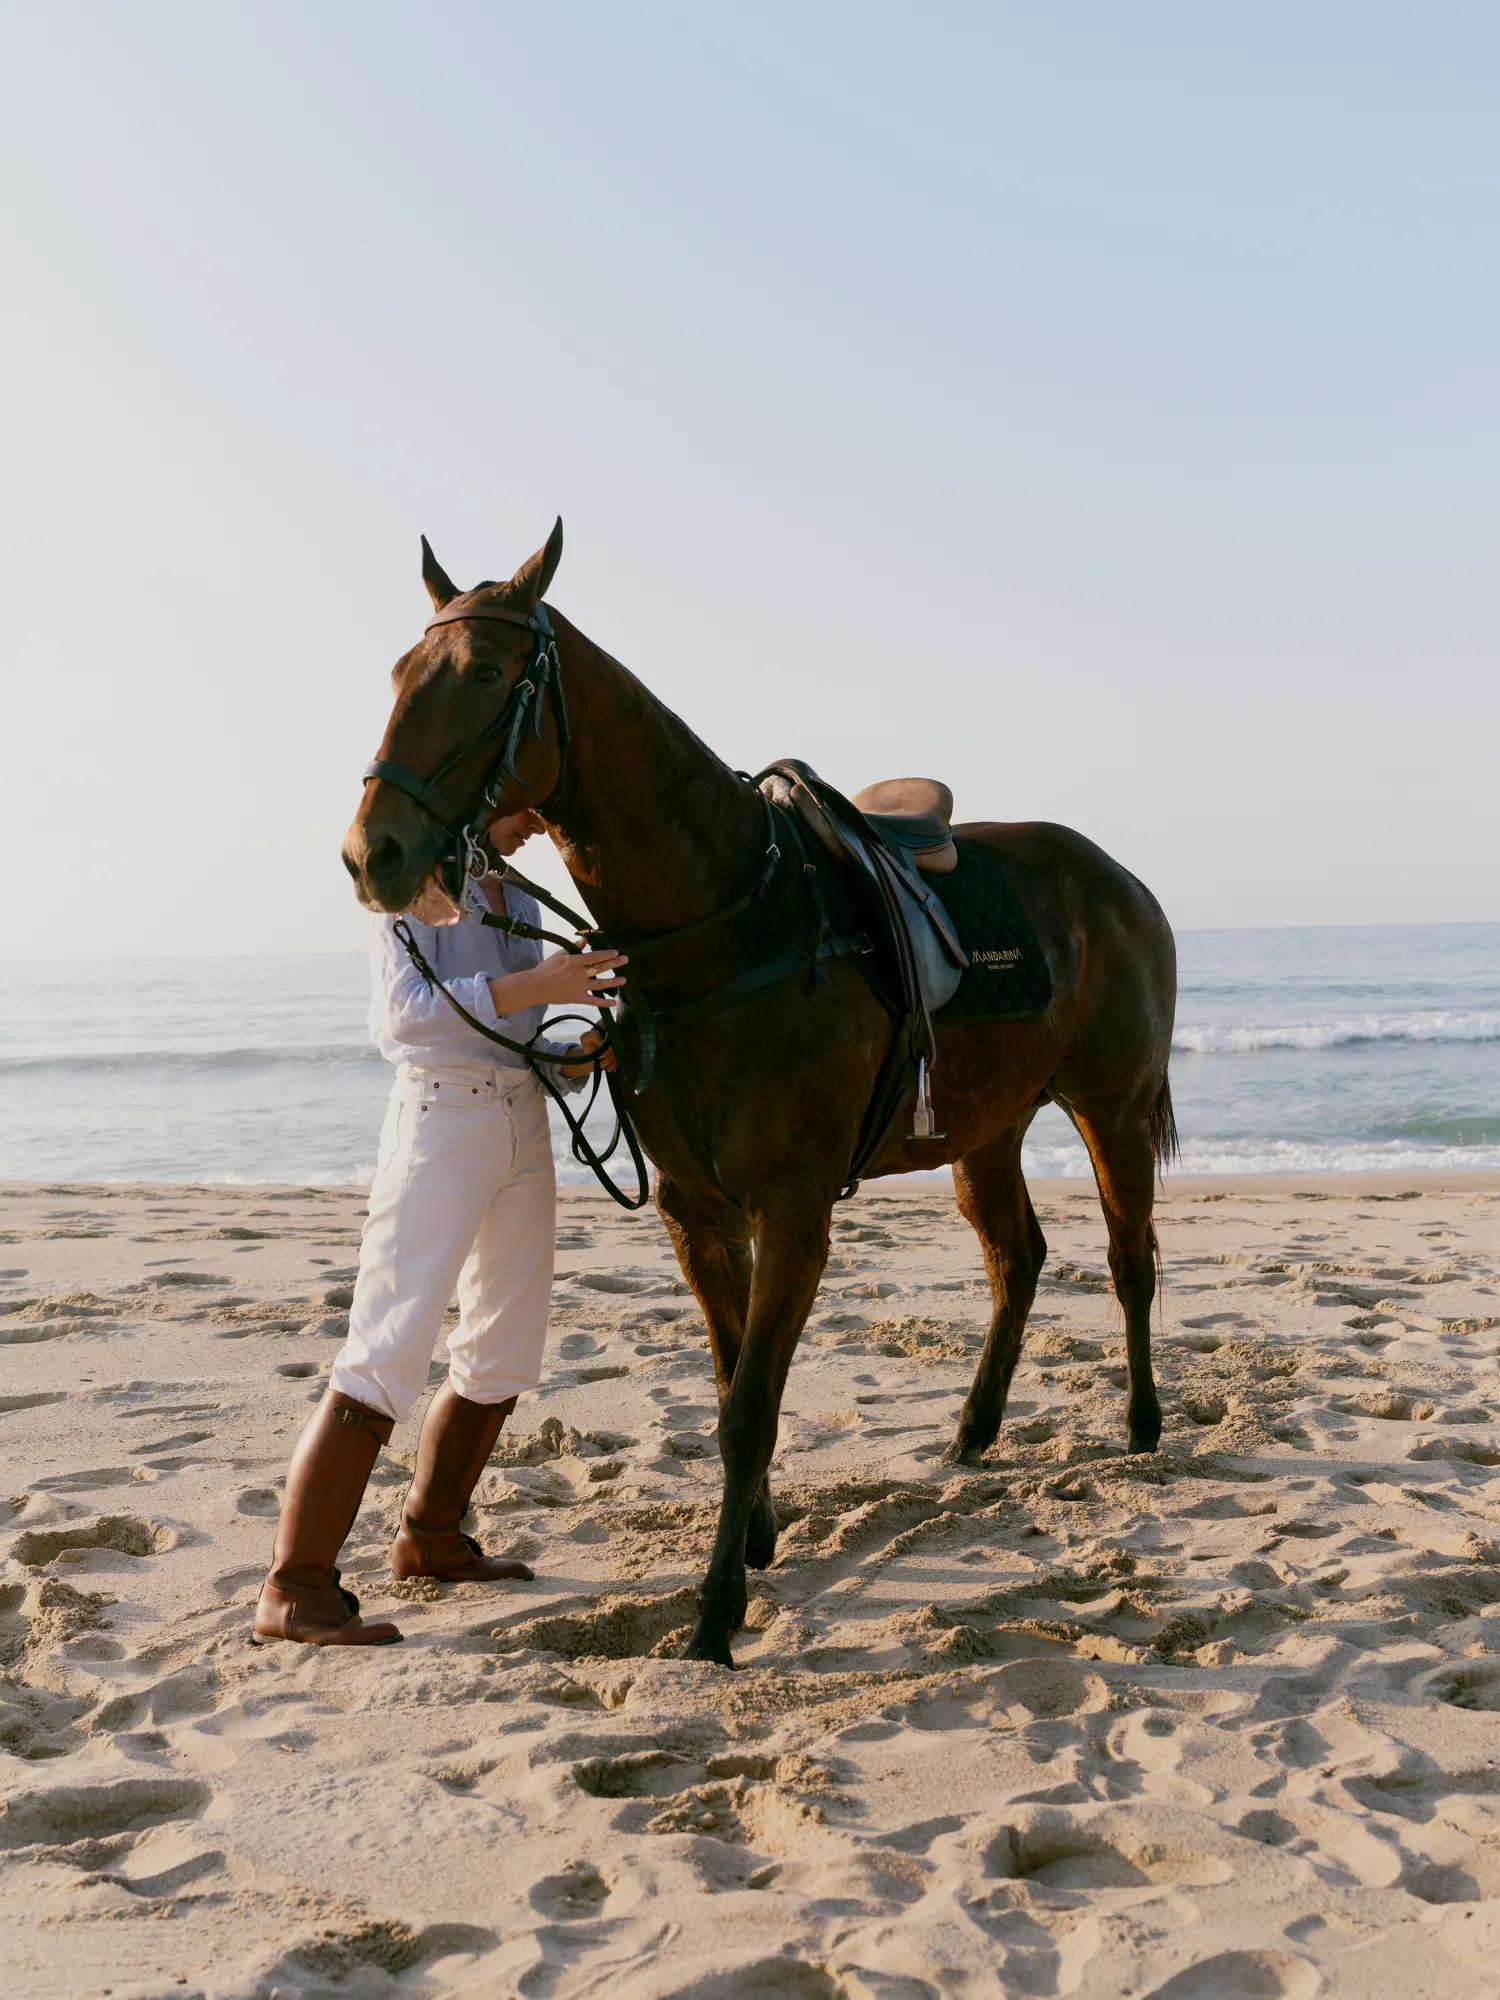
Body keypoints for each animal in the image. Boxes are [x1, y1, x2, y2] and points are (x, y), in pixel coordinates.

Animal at [342, 522, 1178, 1667]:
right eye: (396, 674)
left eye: (481, 673)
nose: (371, 853)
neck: (727, 923)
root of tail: (1122, 881)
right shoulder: (700, 1214)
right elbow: (733, 1375)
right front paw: (756, 1540)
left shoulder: (790, 1213)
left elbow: (748, 1407)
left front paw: (714, 1611)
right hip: (985, 1130)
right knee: (1018, 1259)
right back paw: (973, 1432)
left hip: (1112, 1107)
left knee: (1131, 1260)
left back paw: (1142, 1426)